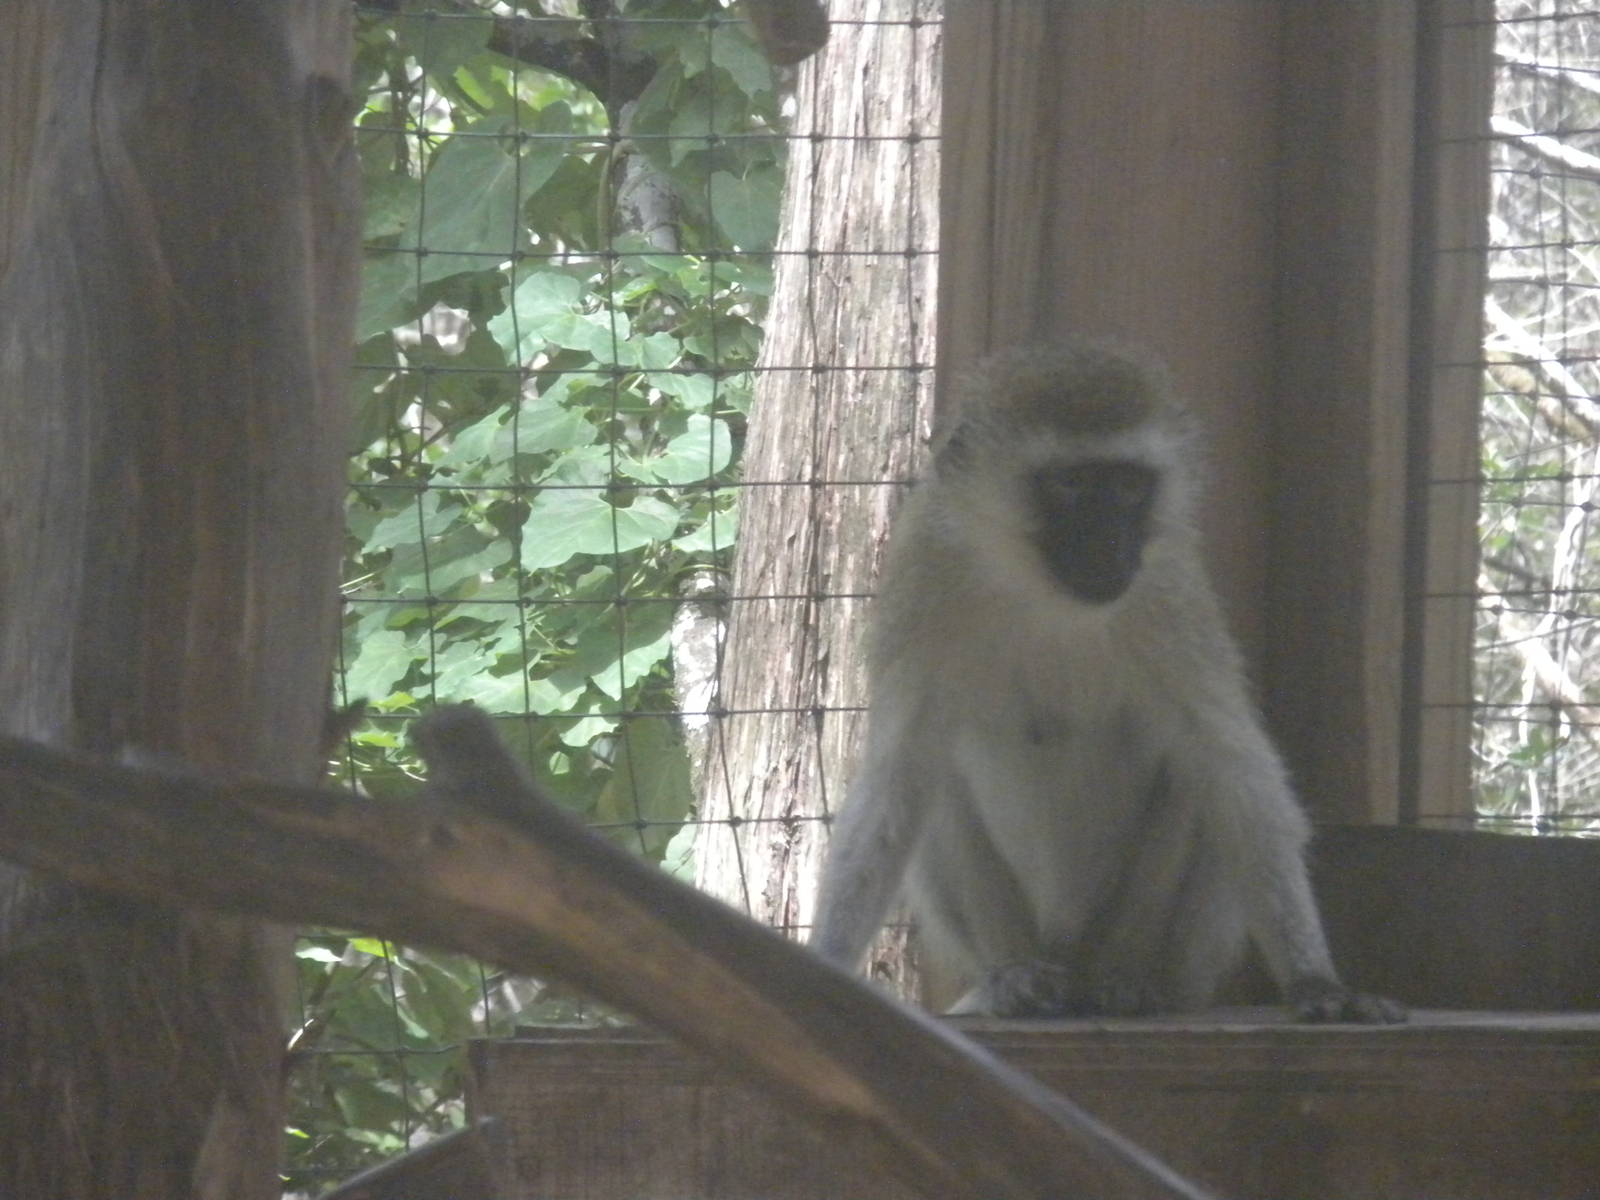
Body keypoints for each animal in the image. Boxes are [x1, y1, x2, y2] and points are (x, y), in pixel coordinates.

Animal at [810, 341, 1405, 1023]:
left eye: (1127, 487)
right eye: (1070, 484)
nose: (1108, 546)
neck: (1042, 592)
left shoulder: (1170, 590)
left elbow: (1234, 771)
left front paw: (1316, 979)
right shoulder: (923, 574)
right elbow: (897, 778)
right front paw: (824, 965)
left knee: (1191, 775)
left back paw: (1126, 979)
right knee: (935, 785)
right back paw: (1014, 978)